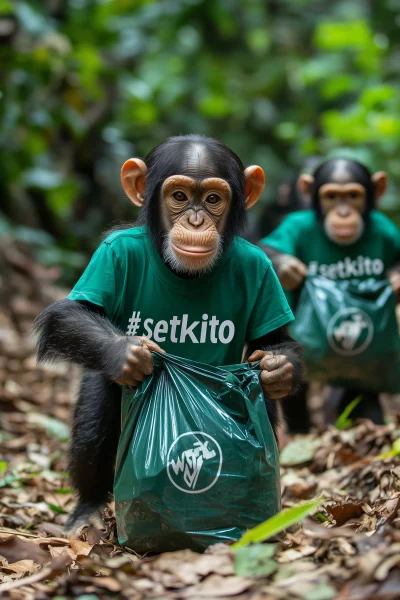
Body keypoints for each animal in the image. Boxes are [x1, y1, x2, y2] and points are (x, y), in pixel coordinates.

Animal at [35, 135, 304, 536]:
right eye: (179, 196)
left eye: (213, 199)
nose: (195, 219)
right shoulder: (110, 253)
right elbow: (69, 315)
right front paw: (127, 353)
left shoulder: (262, 268)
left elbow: (272, 339)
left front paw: (278, 368)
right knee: (97, 410)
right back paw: (89, 508)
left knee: (262, 403)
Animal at [260, 157, 400, 434]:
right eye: (332, 197)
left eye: (353, 196)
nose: (343, 213)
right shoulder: (294, 225)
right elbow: (265, 248)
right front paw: (288, 267)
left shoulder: (387, 231)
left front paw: (396, 279)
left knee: (361, 384)